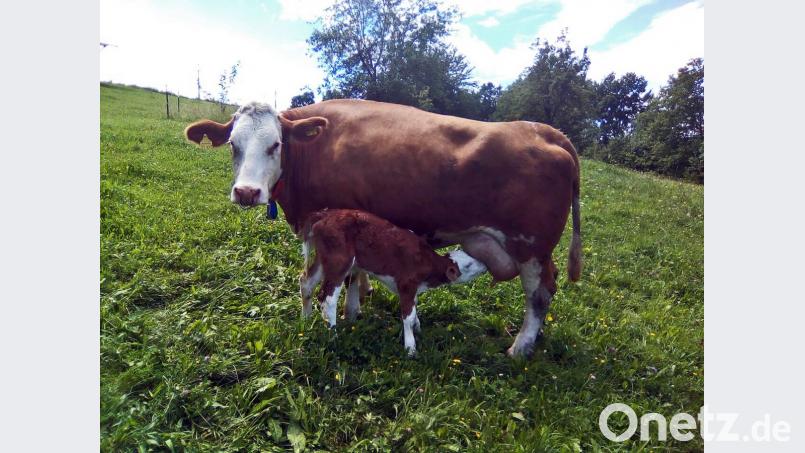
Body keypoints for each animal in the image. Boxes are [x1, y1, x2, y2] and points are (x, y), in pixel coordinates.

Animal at [300, 208, 487, 355]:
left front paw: (418, 329)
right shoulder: (406, 284)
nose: (486, 264)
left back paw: (306, 319)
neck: (426, 262)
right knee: (328, 298)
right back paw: (333, 335)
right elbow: (408, 317)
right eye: (469, 264)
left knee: (306, 282)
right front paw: (410, 348)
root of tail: (323, 215)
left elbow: (414, 309)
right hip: (339, 262)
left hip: (324, 259)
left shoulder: (413, 289)